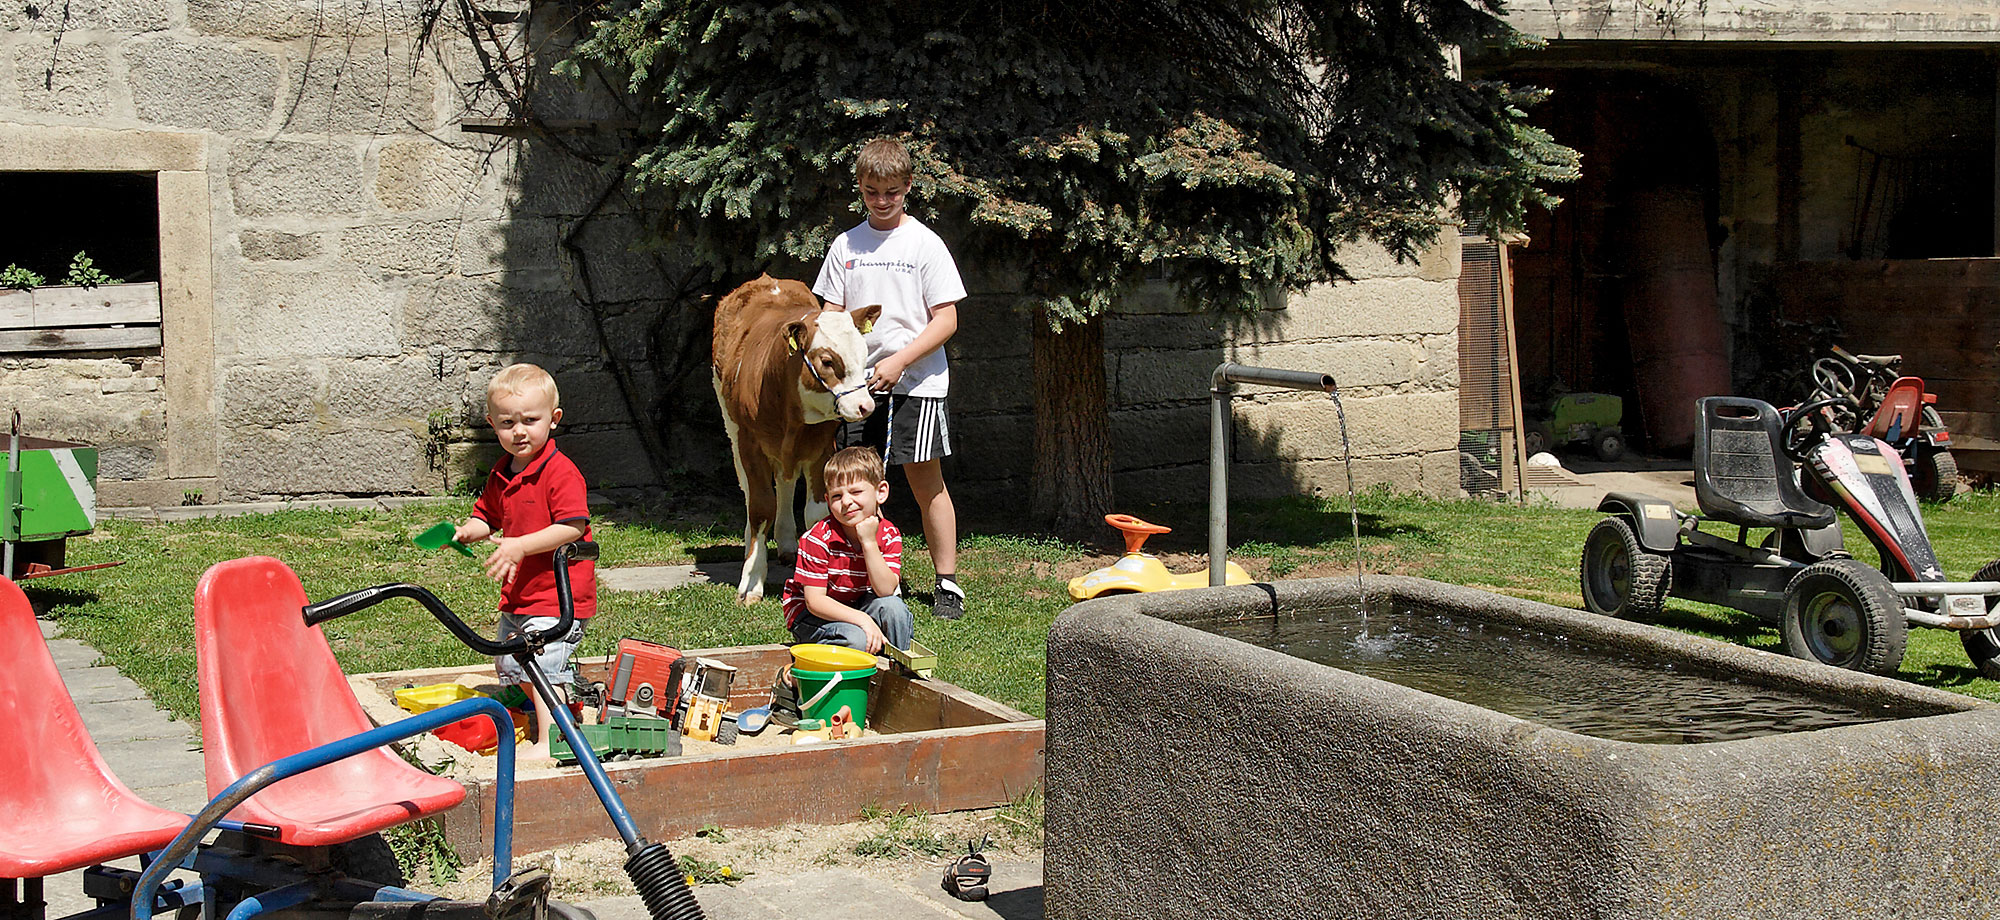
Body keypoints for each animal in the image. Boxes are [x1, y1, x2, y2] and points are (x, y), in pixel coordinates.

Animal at [712, 274, 884, 604]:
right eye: (827, 360)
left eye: (863, 354)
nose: (865, 406)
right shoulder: (750, 443)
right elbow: (760, 505)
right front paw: (751, 581)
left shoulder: (822, 446)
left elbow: (815, 511)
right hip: (731, 428)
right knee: (749, 491)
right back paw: (751, 544)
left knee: (785, 482)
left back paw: (788, 543)